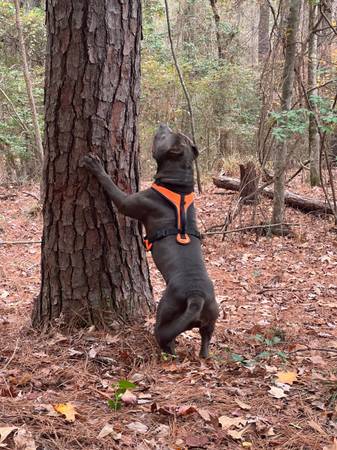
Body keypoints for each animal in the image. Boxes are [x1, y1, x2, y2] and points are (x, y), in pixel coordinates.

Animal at [81, 125, 218, 356]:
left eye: (163, 136)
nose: (163, 125)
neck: (178, 186)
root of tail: (196, 296)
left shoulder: (128, 202)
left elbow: (111, 186)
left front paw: (95, 165)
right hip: (211, 318)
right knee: (206, 340)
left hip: (165, 312)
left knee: (166, 339)